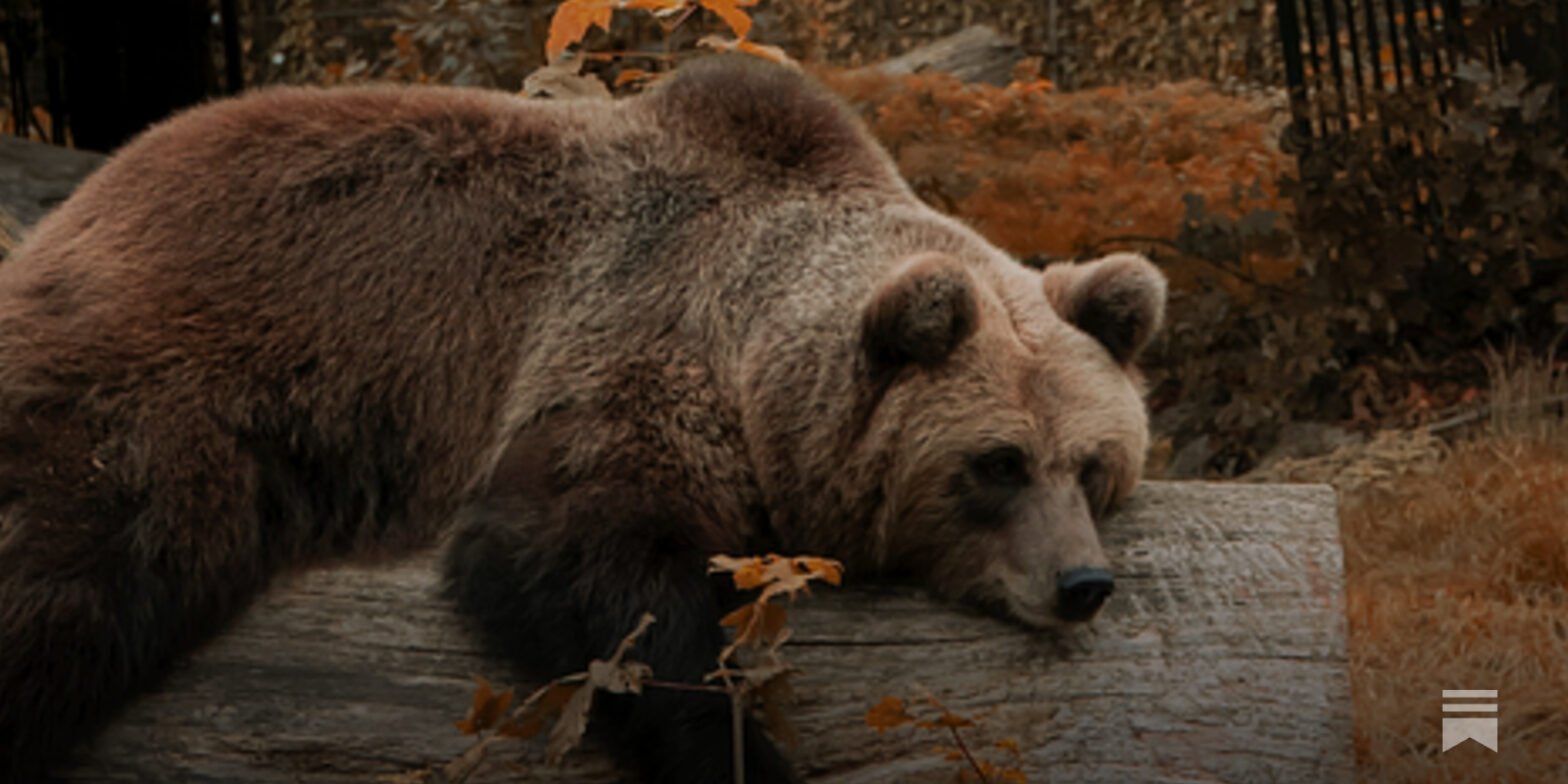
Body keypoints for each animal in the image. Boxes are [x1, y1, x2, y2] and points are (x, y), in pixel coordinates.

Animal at [0, 56, 1166, 781]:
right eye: (997, 462)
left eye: (1093, 464)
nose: (1081, 583)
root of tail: (78, 205)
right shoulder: (630, 335)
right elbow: (585, 567)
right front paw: (739, 749)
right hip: (175, 375)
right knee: (75, 565)